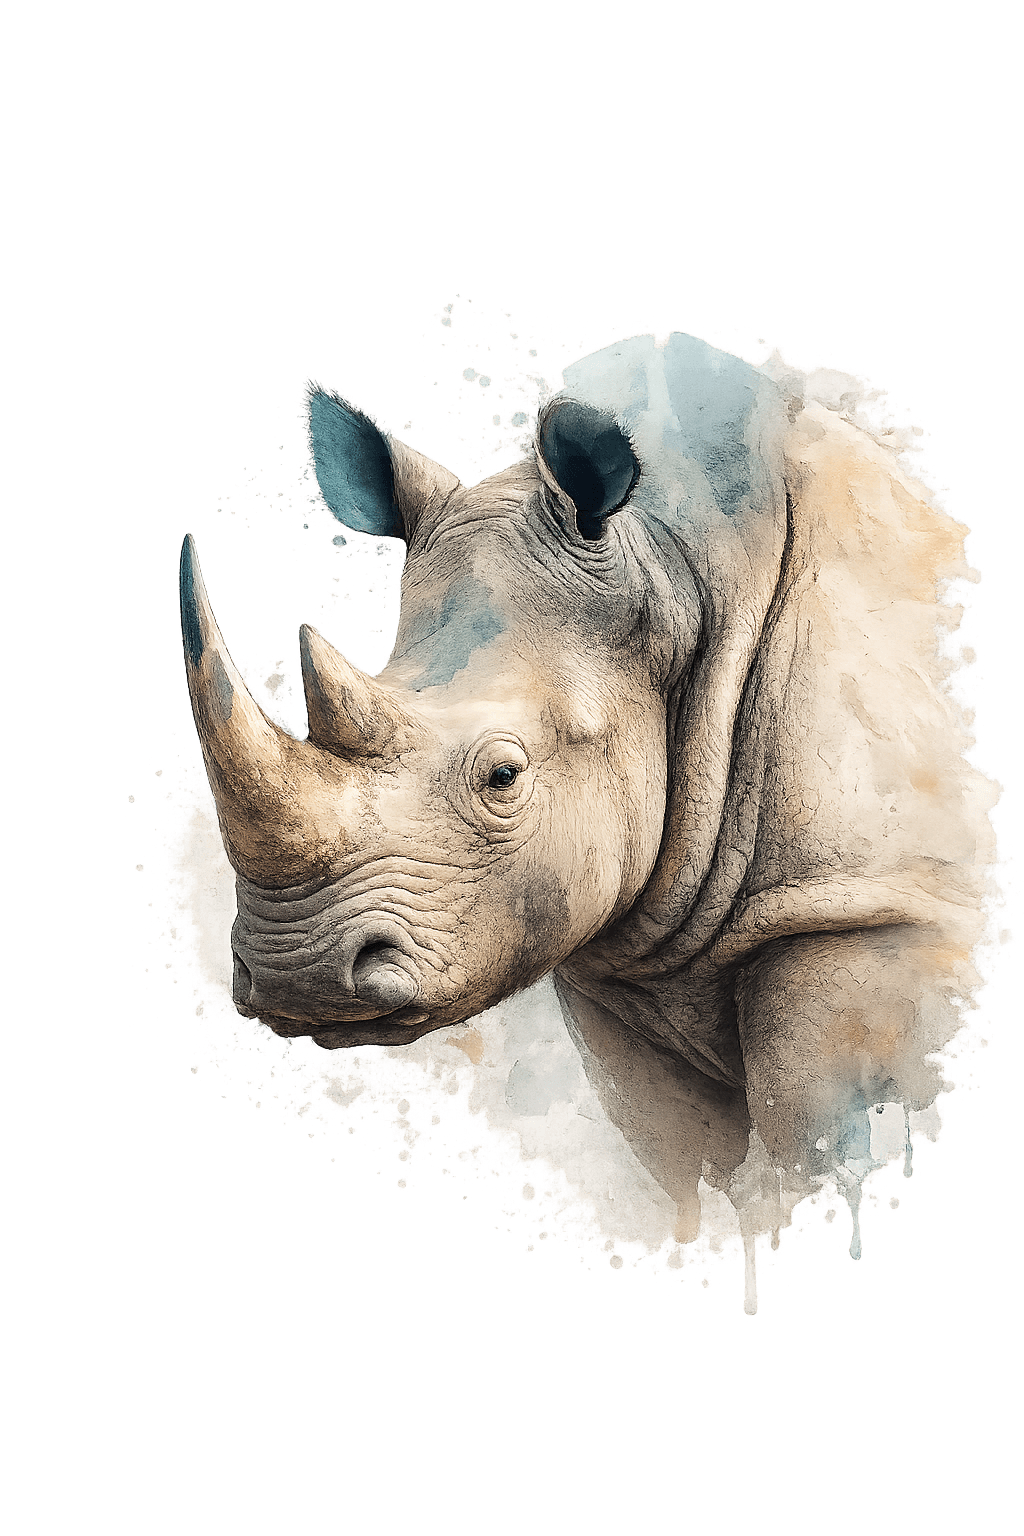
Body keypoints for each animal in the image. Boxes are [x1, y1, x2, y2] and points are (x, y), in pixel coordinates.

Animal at [180, 332, 998, 1237]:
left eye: (503, 776)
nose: (297, 976)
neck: (678, 573)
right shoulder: (627, 966)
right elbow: (684, 1173)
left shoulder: (866, 909)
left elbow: (829, 1152)